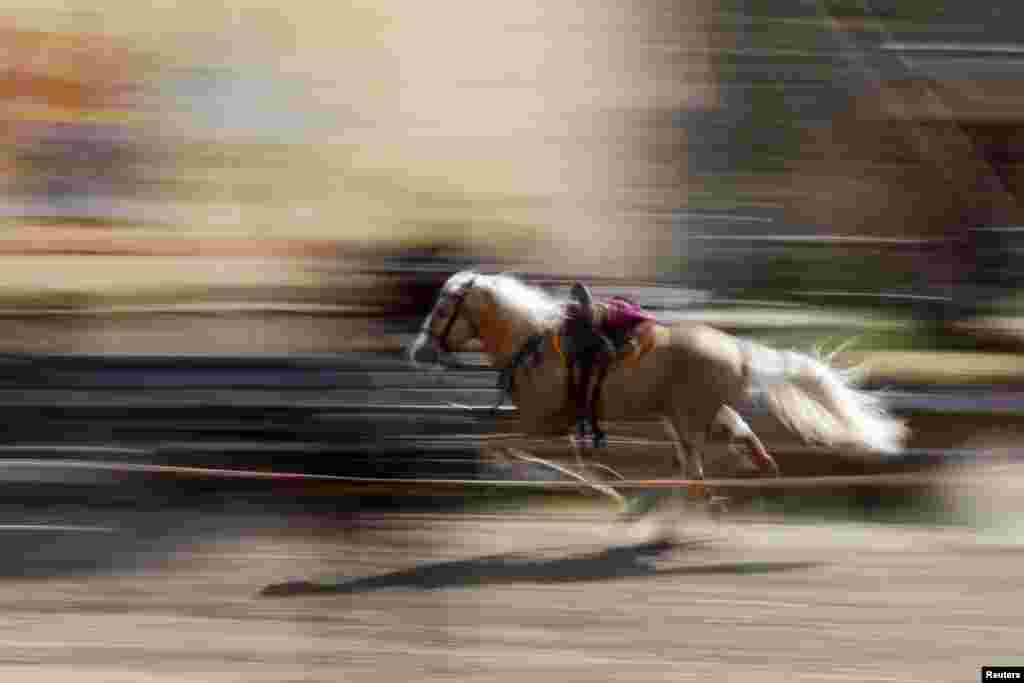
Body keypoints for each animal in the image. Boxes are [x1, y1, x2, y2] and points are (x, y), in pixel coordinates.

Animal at [407, 270, 905, 509]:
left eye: (444, 308)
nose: (418, 349)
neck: (531, 343)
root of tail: (741, 350)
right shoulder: (561, 428)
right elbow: (562, 459)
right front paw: (608, 485)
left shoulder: (541, 426)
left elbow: (505, 445)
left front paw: (609, 489)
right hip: (697, 418)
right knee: (741, 447)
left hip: (688, 421)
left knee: (699, 474)